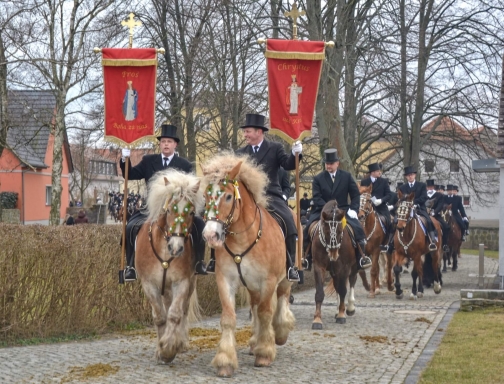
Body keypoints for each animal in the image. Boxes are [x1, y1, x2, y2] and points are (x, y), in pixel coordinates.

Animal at [136, 170, 205, 364]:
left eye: (191, 212)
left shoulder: (181, 282)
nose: (176, 247)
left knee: (183, 309)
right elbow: (160, 317)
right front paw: (161, 350)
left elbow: (175, 314)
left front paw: (169, 348)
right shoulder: (149, 284)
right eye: (169, 210)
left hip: (188, 283)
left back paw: (179, 342)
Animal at [201, 153, 296, 378]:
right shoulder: (225, 280)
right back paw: (255, 341)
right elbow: (229, 318)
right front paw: (225, 361)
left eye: (228, 197)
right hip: (252, 285)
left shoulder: (268, 281)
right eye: (206, 196)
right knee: (255, 304)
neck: (243, 237)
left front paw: (265, 353)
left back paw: (279, 332)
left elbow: (265, 312)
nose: (210, 235)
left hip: (285, 278)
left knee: (281, 299)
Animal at [312, 200, 362, 328]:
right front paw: (317, 319)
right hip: (334, 271)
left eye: (340, 231)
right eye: (325, 230)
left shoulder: (344, 267)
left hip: (353, 267)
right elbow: (320, 293)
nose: (334, 255)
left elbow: (343, 290)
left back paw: (349, 308)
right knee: (337, 285)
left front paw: (341, 315)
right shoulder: (319, 266)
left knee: (352, 281)